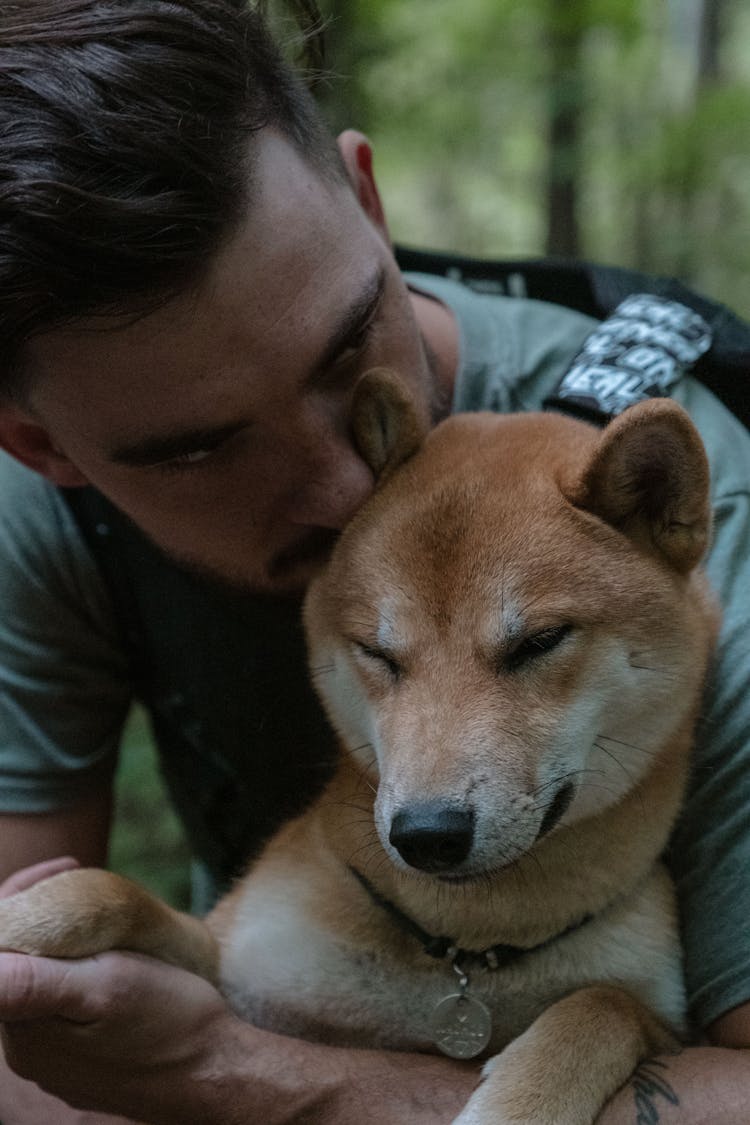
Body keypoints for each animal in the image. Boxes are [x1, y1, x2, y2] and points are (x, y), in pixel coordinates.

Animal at [0, 371, 719, 1125]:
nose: (428, 833)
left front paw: (523, 1102)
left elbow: (604, 1004)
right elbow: (113, 892)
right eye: (377, 652)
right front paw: (25, 919)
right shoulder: (236, 963)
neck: (465, 947)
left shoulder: (660, 1013)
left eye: (539, 642)